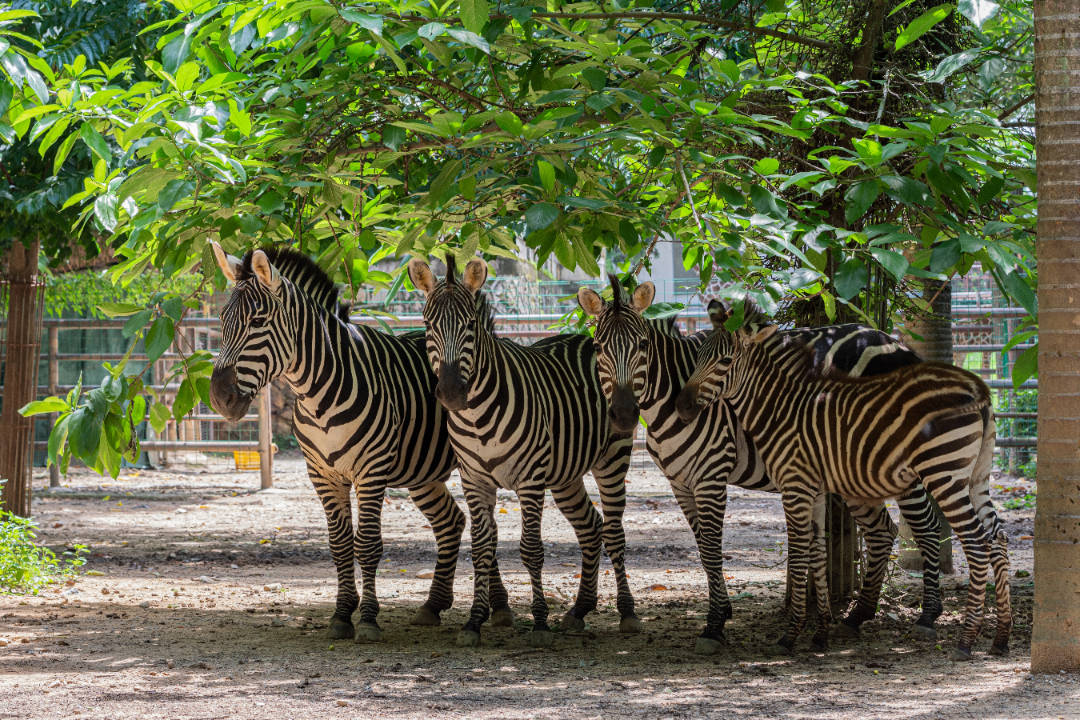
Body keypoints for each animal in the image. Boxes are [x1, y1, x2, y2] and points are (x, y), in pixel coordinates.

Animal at [210, 246, 514, 643]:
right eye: (221, 318)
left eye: (258, 321)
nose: (219, 398)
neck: (317, 392)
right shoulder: (322, 474)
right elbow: (340, 545)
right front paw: (341, 614)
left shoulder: (371, 471)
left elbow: (367, 544)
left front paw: (368, 619)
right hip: (423, 472)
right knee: (452, 522)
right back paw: (433, 604)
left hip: (474, 463)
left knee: (486, 530)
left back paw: (500, 607)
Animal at [408, 257, 635, 647]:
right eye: (427, 325)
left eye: (470, 326)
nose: (451, 394)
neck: (477, 416)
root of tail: (589, 338)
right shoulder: (475, 480)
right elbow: (481, 548)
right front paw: (474, 622)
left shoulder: (530, 480)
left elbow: (531, 550)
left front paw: (540, 622)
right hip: (565, 475)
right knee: (591, 528)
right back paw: (579, 611)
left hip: (612, 459)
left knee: (615, 533)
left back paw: (627, 613)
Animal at [574, 280, 946, 651]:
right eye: (598, 347)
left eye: (642, 345)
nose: (624, 414)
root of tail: (891, 341)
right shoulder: (680, 482)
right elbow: (702, 548)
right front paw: (723, 612)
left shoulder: (712, 474)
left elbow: (712, 549)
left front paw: (714, 625)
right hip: (855, 468)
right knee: (882, 530)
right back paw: (858, 616)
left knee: (926, 526)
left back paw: (928, 616)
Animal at [673, 304, 1010, 660]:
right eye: (697, 358)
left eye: (724, 362)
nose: (681, 406)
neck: (780, 409)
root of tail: (979, 390)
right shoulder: (815, 489)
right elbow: (818, 552)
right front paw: (820, 632)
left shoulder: (795, 486)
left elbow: (799, 554)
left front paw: (790, 635)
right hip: (976, 476)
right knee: (997, 537)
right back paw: (1000, 637)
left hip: (942, 473)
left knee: (971, 540)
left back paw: (962, 637)